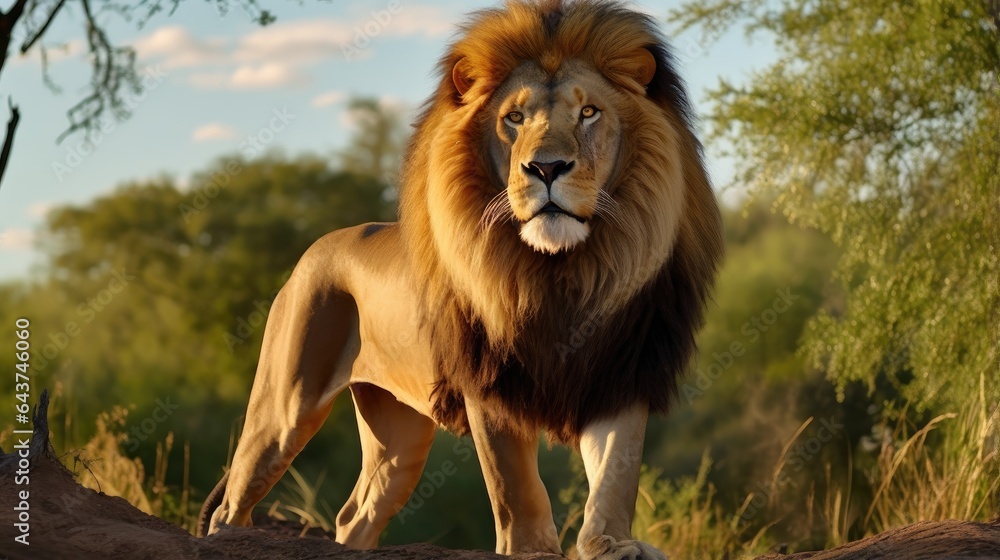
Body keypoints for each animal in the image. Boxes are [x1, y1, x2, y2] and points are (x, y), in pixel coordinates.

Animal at [198, 1, 723, 558]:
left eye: (589, 113)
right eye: (514, 118)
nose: (546, 168)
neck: (561, 271)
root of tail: (314, 249)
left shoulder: (621, 370)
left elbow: (615, 475)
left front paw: (613, 544)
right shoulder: (488, 382)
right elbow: (515, 486)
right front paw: (531, 549)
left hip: (398, 437)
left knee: (354, 514)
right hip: (287, 404)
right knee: (235, 499)